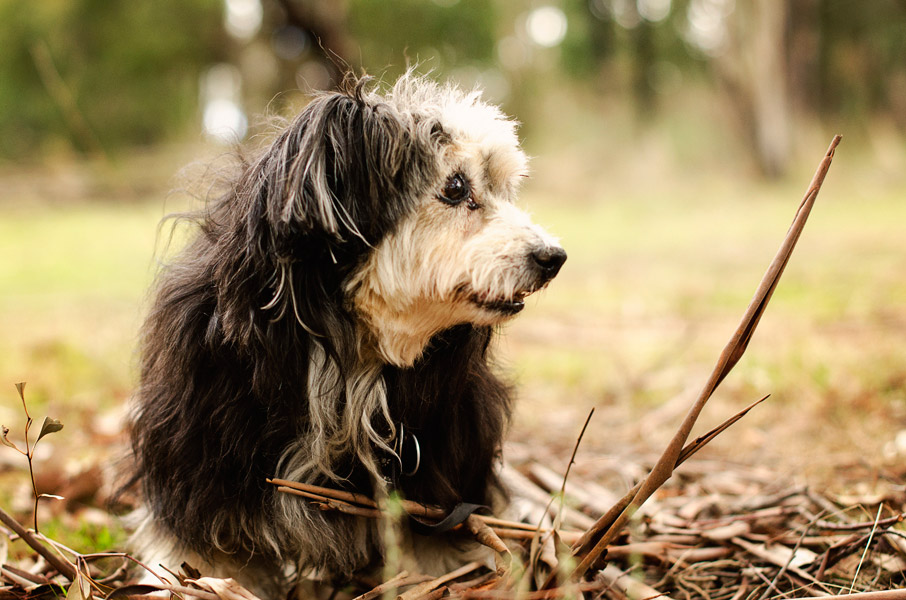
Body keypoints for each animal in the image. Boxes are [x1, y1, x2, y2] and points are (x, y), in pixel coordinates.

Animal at [127, 74, 564, 596]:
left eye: (503, 188)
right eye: (456, 187)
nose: (554, 258)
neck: (347, 355)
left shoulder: (442, 459)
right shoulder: (203, 450)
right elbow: (209, 549)